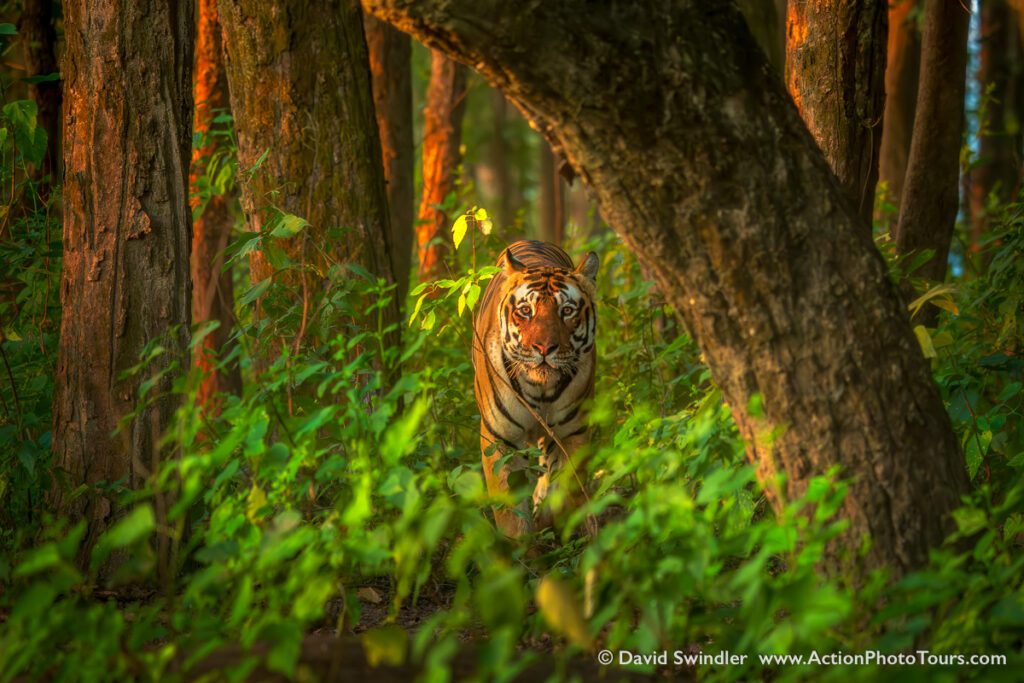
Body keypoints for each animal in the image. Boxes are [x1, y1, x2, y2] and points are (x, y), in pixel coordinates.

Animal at [472, 240, 599, 537]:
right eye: (526, 311)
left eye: (567, 311)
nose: (544, 348)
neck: (540, 390)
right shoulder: (500, 438)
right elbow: (509, 510)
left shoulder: (572, 432)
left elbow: (563, 491)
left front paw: (547, 518)